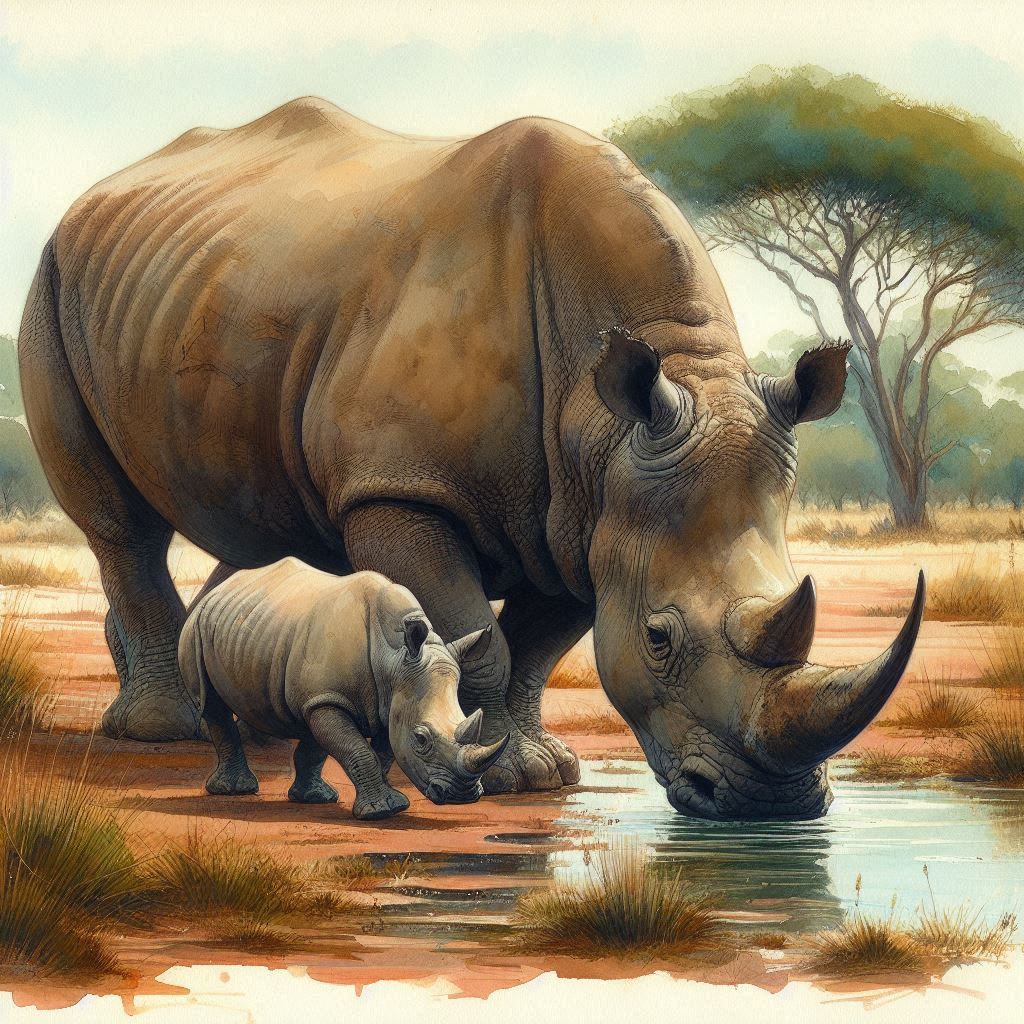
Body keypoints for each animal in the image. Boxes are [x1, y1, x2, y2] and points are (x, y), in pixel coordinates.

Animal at [179, 560, 507, 818]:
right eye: (421, 738)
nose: (462, 796)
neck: (393, 660)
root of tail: (220, 590)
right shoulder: (330, 698)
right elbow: (358, 749)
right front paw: (380, 812)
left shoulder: (384, 701)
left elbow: (379, 751)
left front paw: (391, 804)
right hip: (196, 625)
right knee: (212, 706)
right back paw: (234, 790)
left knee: (308, 727)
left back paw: (315, 798)